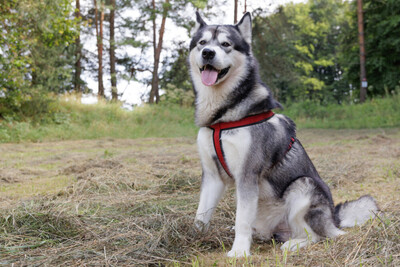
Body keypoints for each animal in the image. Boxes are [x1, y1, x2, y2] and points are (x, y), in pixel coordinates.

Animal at [189, 11, 380, 258]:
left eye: (225, 44)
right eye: (202, 43)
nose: (208, 53)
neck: (222, 117)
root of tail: (334, 218)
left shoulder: (247, 174)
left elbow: (241, 220)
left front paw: (239, 252)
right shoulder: (212, 176)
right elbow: (201, 215)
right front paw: (190, 238)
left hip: (303, 187)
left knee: (319, 236)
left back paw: (294, 244)